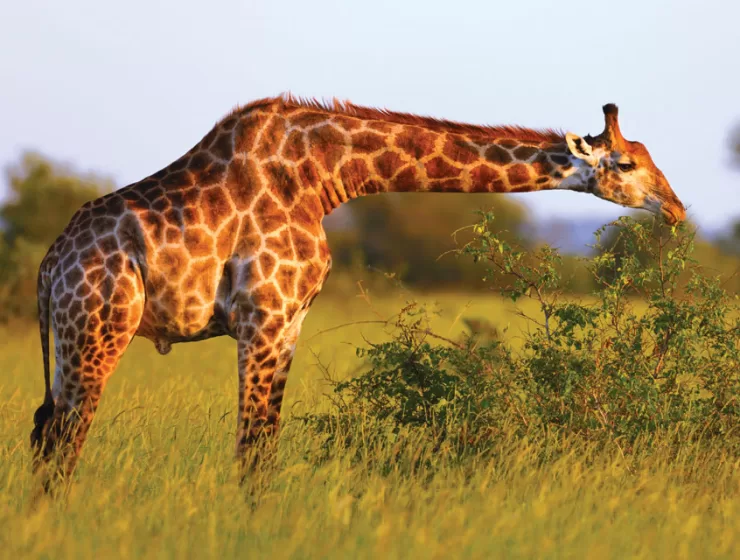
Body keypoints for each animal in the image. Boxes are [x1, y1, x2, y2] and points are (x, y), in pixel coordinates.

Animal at [30, 95, 685, 486]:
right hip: (101, 329)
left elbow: (265, 444)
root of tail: (49, 267)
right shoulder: (263, 315)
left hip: (67, 341)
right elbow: (251, 446)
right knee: (65, 442)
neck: (325, 175)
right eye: (626, 164)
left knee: (43, 432)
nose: (677, 208)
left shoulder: (291, 321)